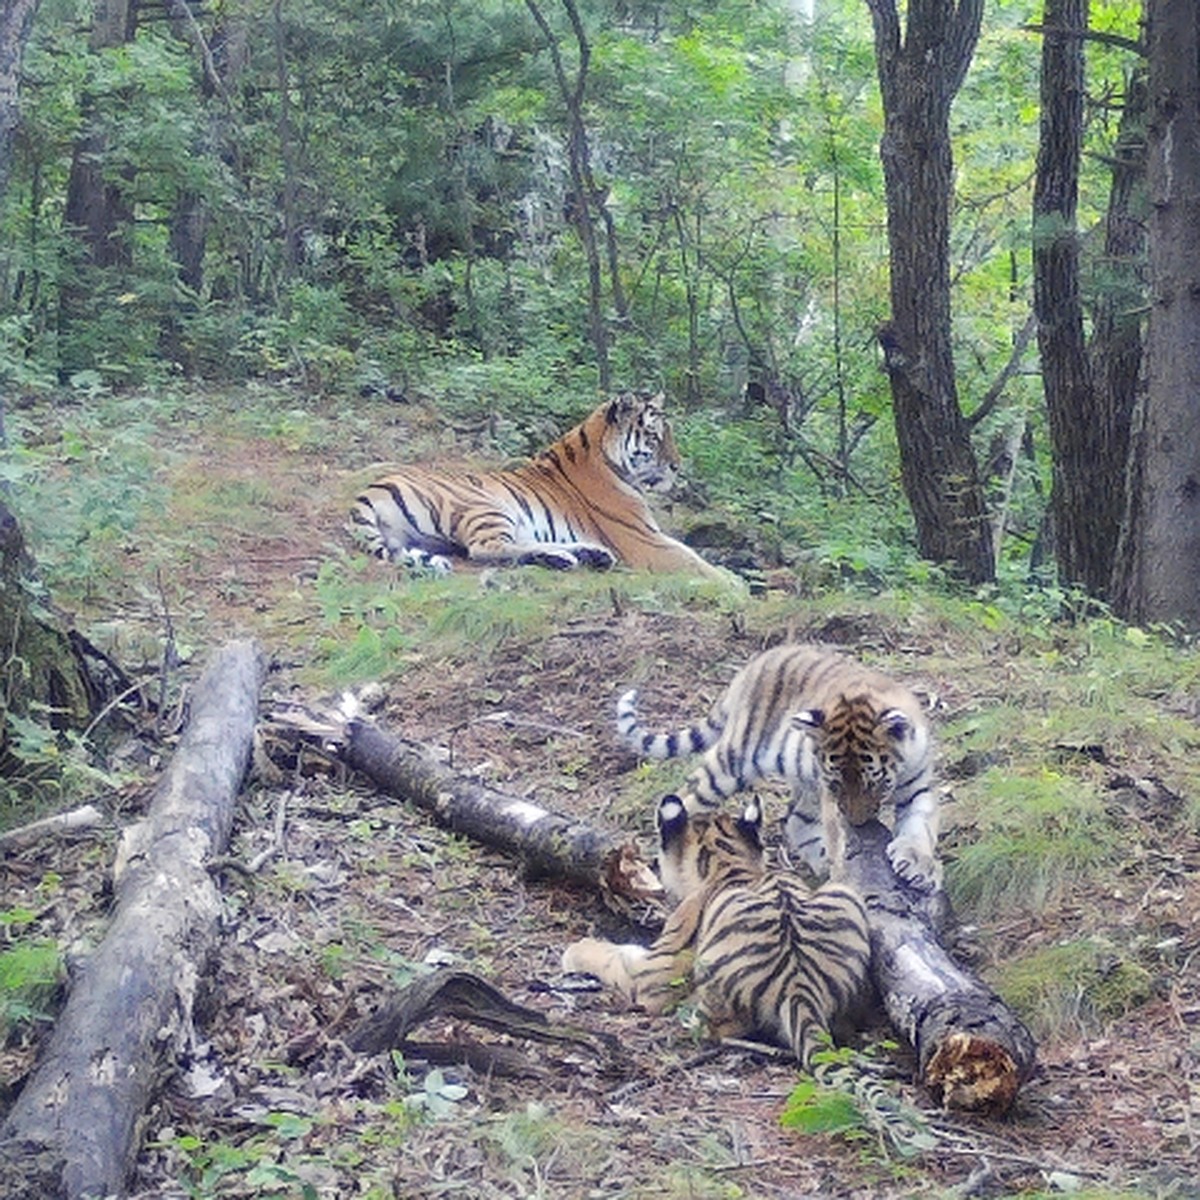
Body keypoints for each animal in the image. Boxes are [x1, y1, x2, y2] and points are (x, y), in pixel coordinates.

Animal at [348, 391, 720, 578]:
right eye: (655, 437)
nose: (677, 466)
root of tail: (369, 490)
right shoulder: (643, 538)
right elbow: (698, 564)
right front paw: (731, 585)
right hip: (486, 506)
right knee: (484, 548)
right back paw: (567, 558)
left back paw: (587, 554)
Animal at [561, 796, 873, 1070]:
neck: (726, 863)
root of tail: (799, 988)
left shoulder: (652, 975)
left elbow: (612, 957)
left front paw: (576, 949)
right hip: (845, 894)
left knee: (718, 1027)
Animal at [614, 648, 940, 892]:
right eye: (837, 785)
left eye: (875, 784)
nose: (858, 823)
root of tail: (754, 664)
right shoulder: (828, 797)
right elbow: (837, 838)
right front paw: (842, 873)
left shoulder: (918, 787)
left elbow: (920, 826)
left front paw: (919, 866)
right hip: (730, 764)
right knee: (686, 797)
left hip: (803, 783)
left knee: (795, 821)